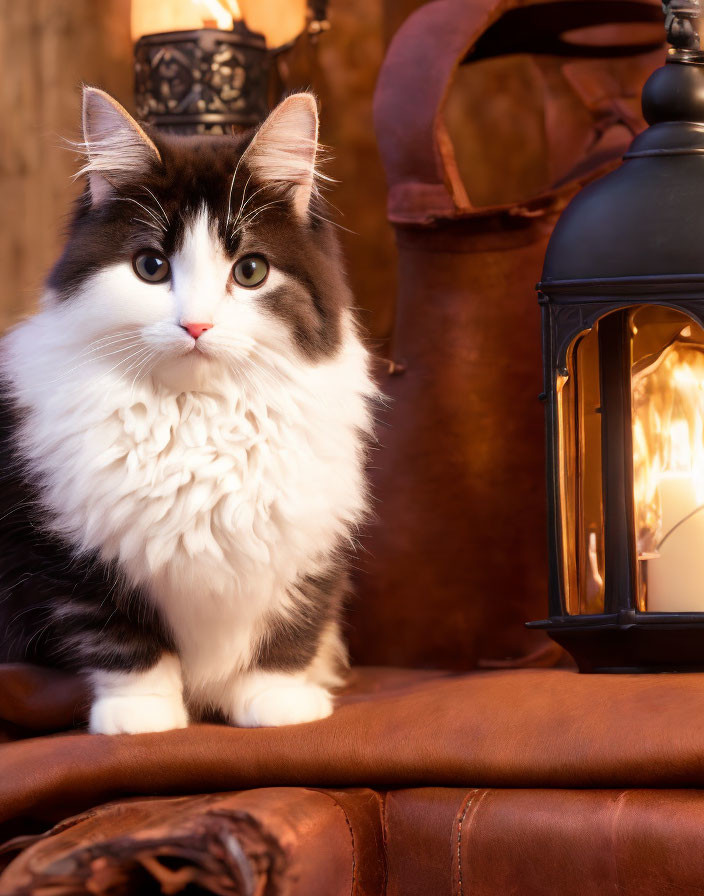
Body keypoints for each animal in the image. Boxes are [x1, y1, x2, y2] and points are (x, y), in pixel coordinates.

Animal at [0, 86, 374, 736]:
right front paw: (142, 716)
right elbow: (121, 640)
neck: (199, 417)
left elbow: (289, 635)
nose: (195, 326)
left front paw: (278, 703)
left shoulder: (313, 543)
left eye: (250, 271)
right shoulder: (68, 552)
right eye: (151, 267)